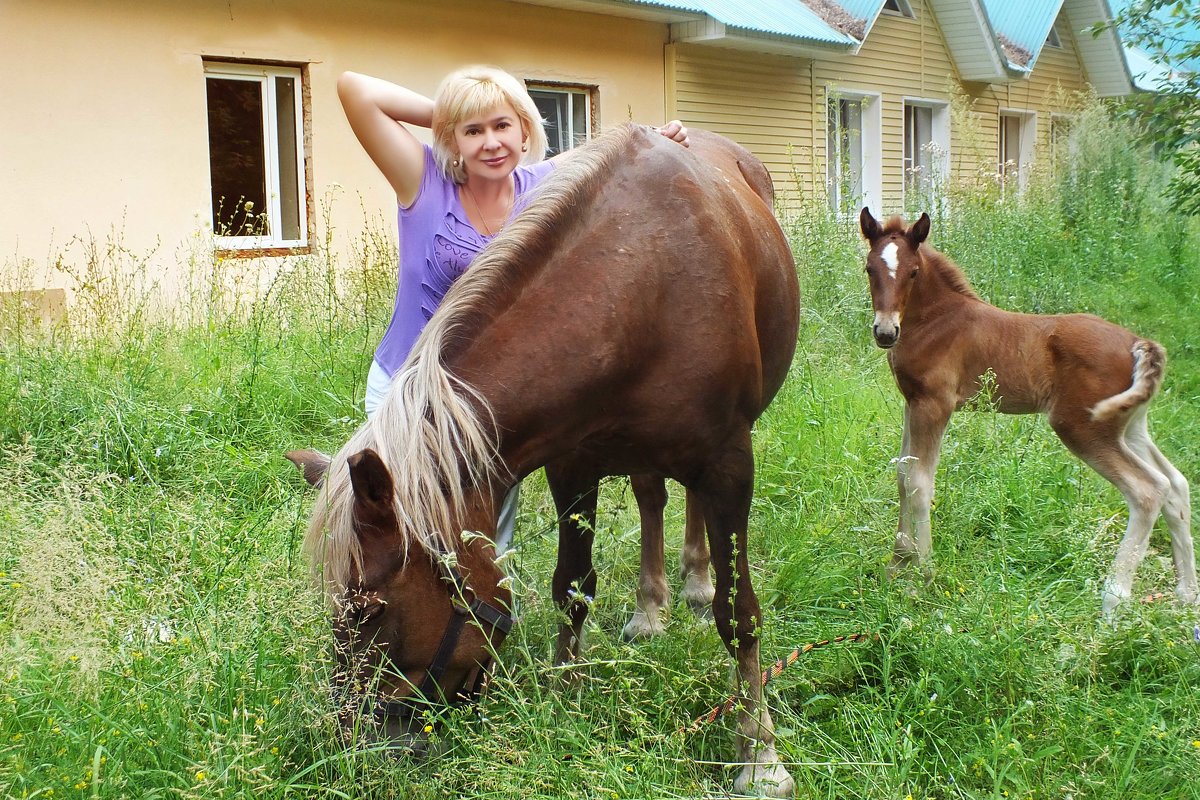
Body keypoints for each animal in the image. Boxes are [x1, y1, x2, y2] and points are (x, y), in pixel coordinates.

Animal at [288, 125, 796, 796]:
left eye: (372, 612)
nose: (352, 749)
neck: (638, 286)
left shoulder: (728, 465)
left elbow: (739, 614)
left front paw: (759, 753)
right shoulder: (573, 467)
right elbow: (572, 586)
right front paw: (565, 690)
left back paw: (693, 579)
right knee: (653, 495)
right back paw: (652, 607)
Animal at [859, 209, 1195, 618]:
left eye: (912, 272)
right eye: (870, 269)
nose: (885, 331)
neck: (936, 320)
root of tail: (1139, 344)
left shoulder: (934, 403)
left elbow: (920, 482)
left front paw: (922, 577)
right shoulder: (912, 401)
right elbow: (902, 473)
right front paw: (897, 564)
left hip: (1082, 426)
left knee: (1149, 490)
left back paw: (1113, 602)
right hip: (1129, 425)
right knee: (1176, 484)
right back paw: (1186, 596)